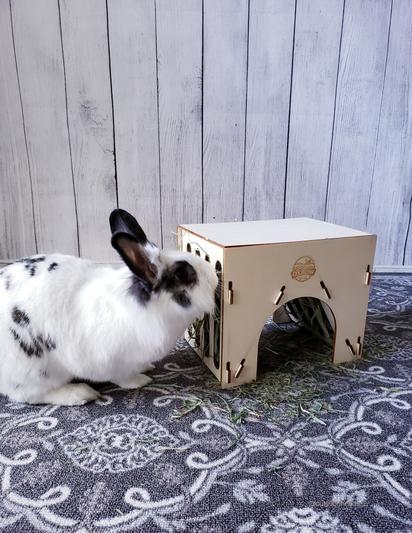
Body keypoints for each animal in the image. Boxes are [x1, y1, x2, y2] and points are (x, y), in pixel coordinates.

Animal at [0, 208, 219, 404]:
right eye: (181, 274)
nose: (216, 277)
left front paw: (146, 367)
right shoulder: (111, 362)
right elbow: (123, 378)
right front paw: (141, 380)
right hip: (36, 371)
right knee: (29, 395)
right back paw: (79, 394)